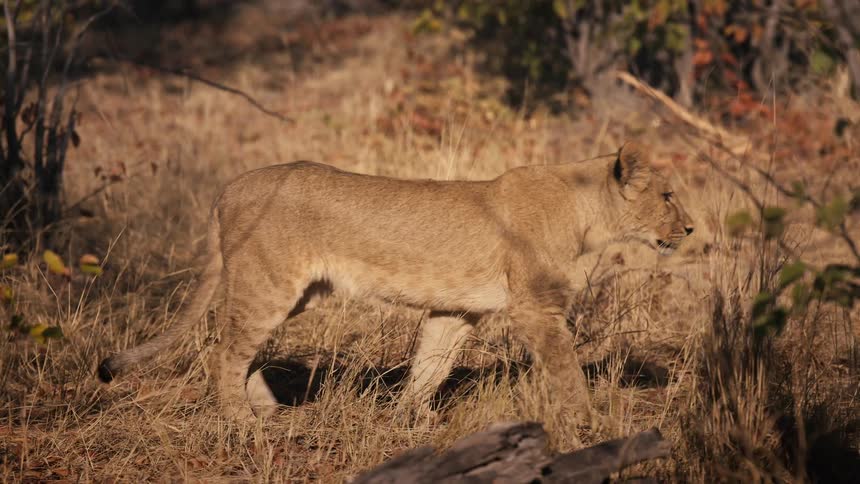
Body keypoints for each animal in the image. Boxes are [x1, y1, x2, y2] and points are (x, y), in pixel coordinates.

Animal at [97, 141, 694, 424]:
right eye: (667, 195)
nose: (691, 228)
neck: (586, 211)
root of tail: (227, 188)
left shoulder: (458, 309)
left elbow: (431, 365)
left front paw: (410, 417)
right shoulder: (535, 308)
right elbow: (567, 370)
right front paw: (590, 421)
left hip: (295, 293)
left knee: (237, 349)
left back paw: (267, 408)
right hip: (268, 284)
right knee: (223, 351)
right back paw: (243, 421)